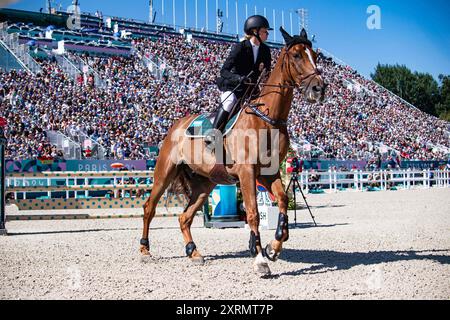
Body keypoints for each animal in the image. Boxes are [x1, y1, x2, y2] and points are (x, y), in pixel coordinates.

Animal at [139, 26, 326, 276]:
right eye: (296, 55)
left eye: (314, 56)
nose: (319, 88)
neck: (268, 118)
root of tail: (176, 125)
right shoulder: (247, 172)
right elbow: (253, 213)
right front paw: (260, 259)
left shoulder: (267, 173)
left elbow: (283, 200)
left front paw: (274, 246)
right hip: (165, 172)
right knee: (149, 207)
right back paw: (145, 250)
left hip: (204, 184)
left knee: (184, 217)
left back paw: (194, 252)